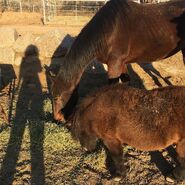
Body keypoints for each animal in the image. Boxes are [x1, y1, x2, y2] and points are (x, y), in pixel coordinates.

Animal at [48, 0, 185, 121]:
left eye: (58, 97)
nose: (57, 118)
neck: (108, 31)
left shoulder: (114, 64)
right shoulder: (122, 63)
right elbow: (125, 84)